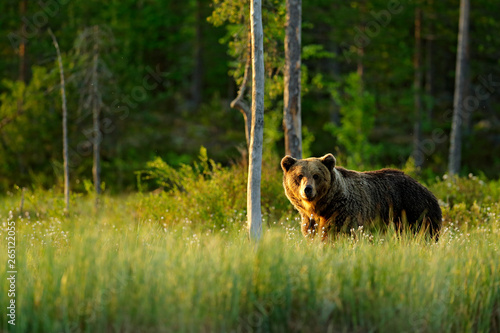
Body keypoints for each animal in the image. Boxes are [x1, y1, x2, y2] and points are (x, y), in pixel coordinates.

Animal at [282, 153, 442, 239]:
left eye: (316, 175)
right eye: (299, 175)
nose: (307, 189)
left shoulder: (343, 214)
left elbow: (334, 234)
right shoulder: (309, 221)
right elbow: (312, 234)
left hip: (414, 211)